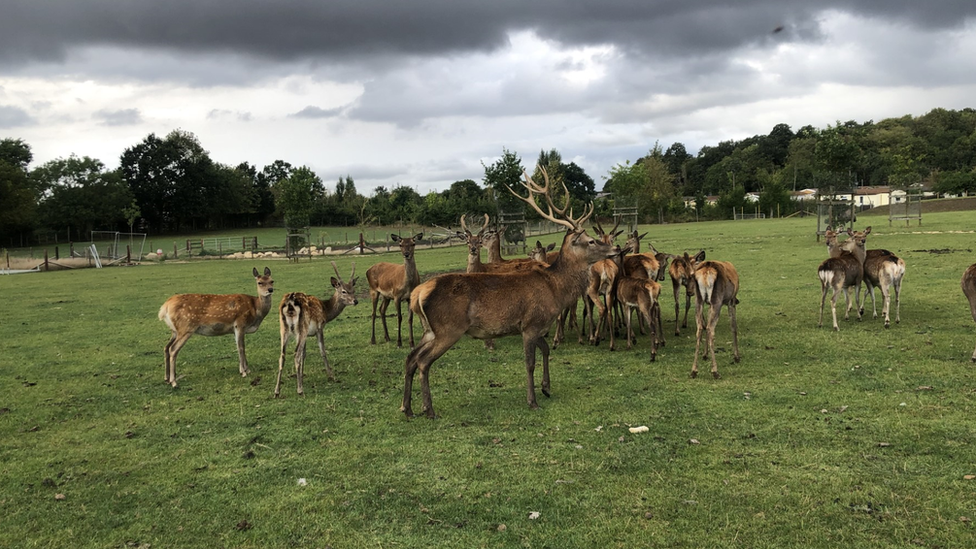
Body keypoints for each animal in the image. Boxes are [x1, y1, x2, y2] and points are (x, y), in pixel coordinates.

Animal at [274, 260, 358, 394]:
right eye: (344, 291)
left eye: (353, 289)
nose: (355, 301)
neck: (326, 311)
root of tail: (290, 301)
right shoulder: (319, 327)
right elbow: (322, 350)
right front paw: (331, 375)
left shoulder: (305, 334)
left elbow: (304, 354)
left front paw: (301, 376)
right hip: (302, 326)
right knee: (295, 354)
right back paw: (299, 389)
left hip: (284, 329)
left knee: (282, 356)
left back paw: (277, 391)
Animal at [402, 166, 616, 416]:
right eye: (591, 241)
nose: (615, 248)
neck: (555, 288)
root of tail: (417, 294)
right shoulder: (531, 323)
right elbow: (529, 363)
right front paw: (532, 401)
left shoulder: (537, 326)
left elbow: (546, 350)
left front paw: (546, 388)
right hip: (448, 329)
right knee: (423, 361)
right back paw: (428, 409)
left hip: (429, 329)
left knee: (411, 357)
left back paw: (406, 407)